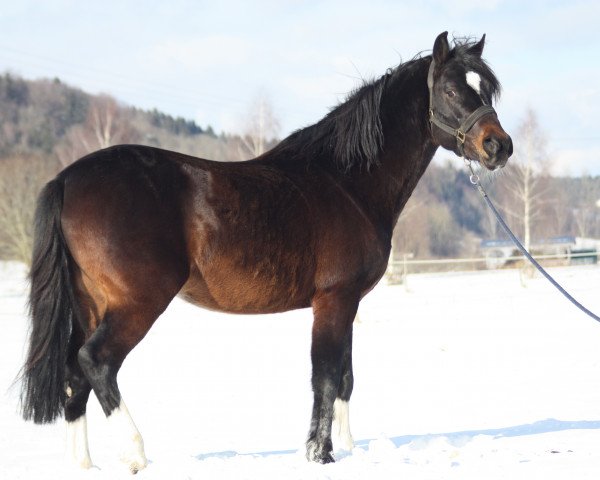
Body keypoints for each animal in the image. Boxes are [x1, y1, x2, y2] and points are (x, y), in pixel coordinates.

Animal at [21, 32, 512, 472]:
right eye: (450, 89)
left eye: (486, 89)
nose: (498, 146)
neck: (348, 182)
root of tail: (68, 178)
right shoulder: (333, 300)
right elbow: (325, 378)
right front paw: (320, 454)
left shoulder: (349, 302)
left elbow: (346, 378)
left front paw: (347, 448)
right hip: (137, 303)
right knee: (96, 362)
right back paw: (136, 454)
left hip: (90, 304)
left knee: (73, 375)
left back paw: (84, 465)